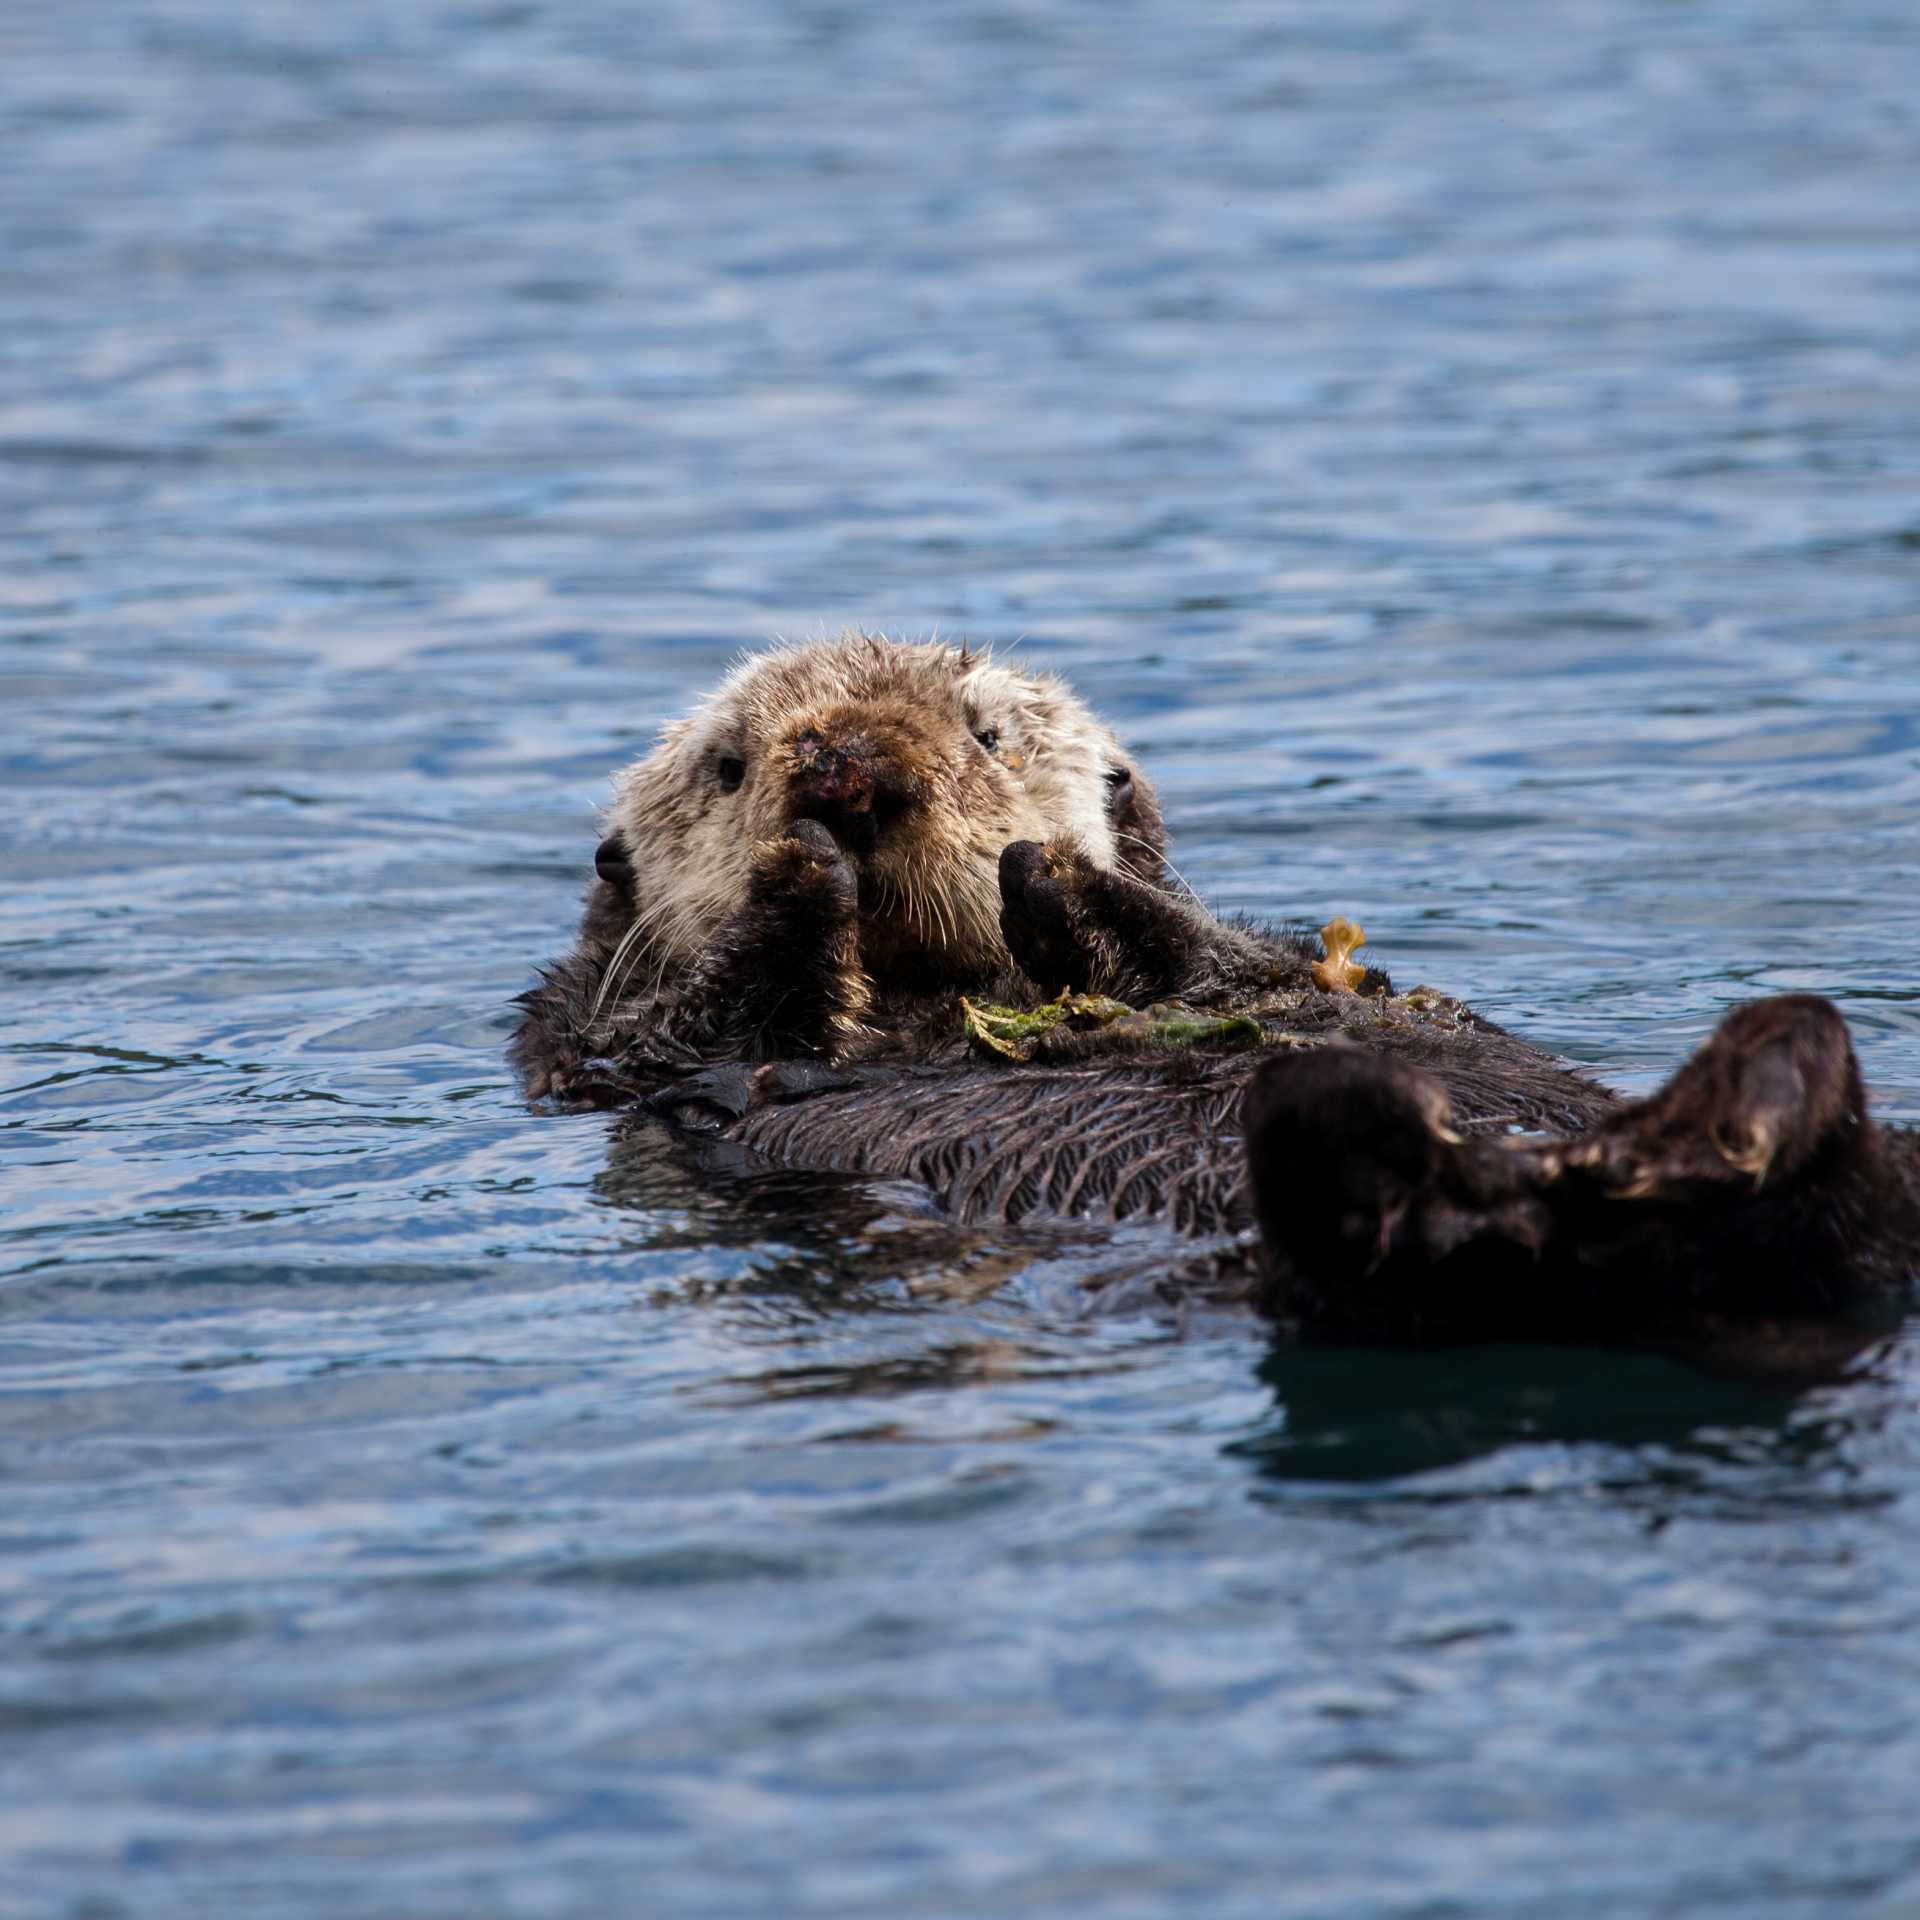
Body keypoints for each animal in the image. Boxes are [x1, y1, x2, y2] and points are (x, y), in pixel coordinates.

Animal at [513, 633, 1920, 1344]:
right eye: (729, 766)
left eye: (987, 734)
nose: (846, 774)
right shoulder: (594, 1060)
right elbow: (682, 1036)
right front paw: (798, 879)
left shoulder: (1280, 963)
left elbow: (1269, 968)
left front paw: (1060, 880)